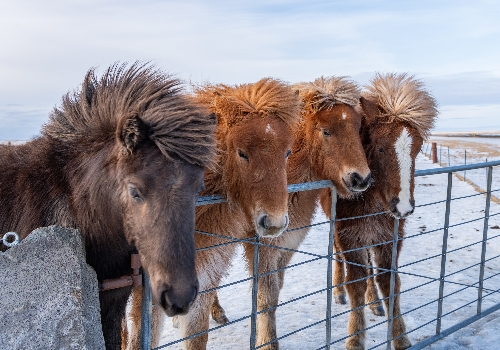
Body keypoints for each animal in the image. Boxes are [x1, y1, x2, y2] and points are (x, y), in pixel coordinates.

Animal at [210, 77, 372, 350]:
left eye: (358, 128)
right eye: (326, 131)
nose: (361, 179)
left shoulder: (287, 245)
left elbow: (274, 295)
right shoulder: (263, 246)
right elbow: (265, 296)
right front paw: (267, 343)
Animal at [320, 72, 438, 348]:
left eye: (417, 149)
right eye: (381, 147)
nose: (403, 207)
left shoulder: (389, 236)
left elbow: (389, 282)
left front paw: (401, 338)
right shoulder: (349, 235)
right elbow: (355, 284)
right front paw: (355, 339)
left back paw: (374, 302)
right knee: (339, 257)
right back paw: (338, 292)